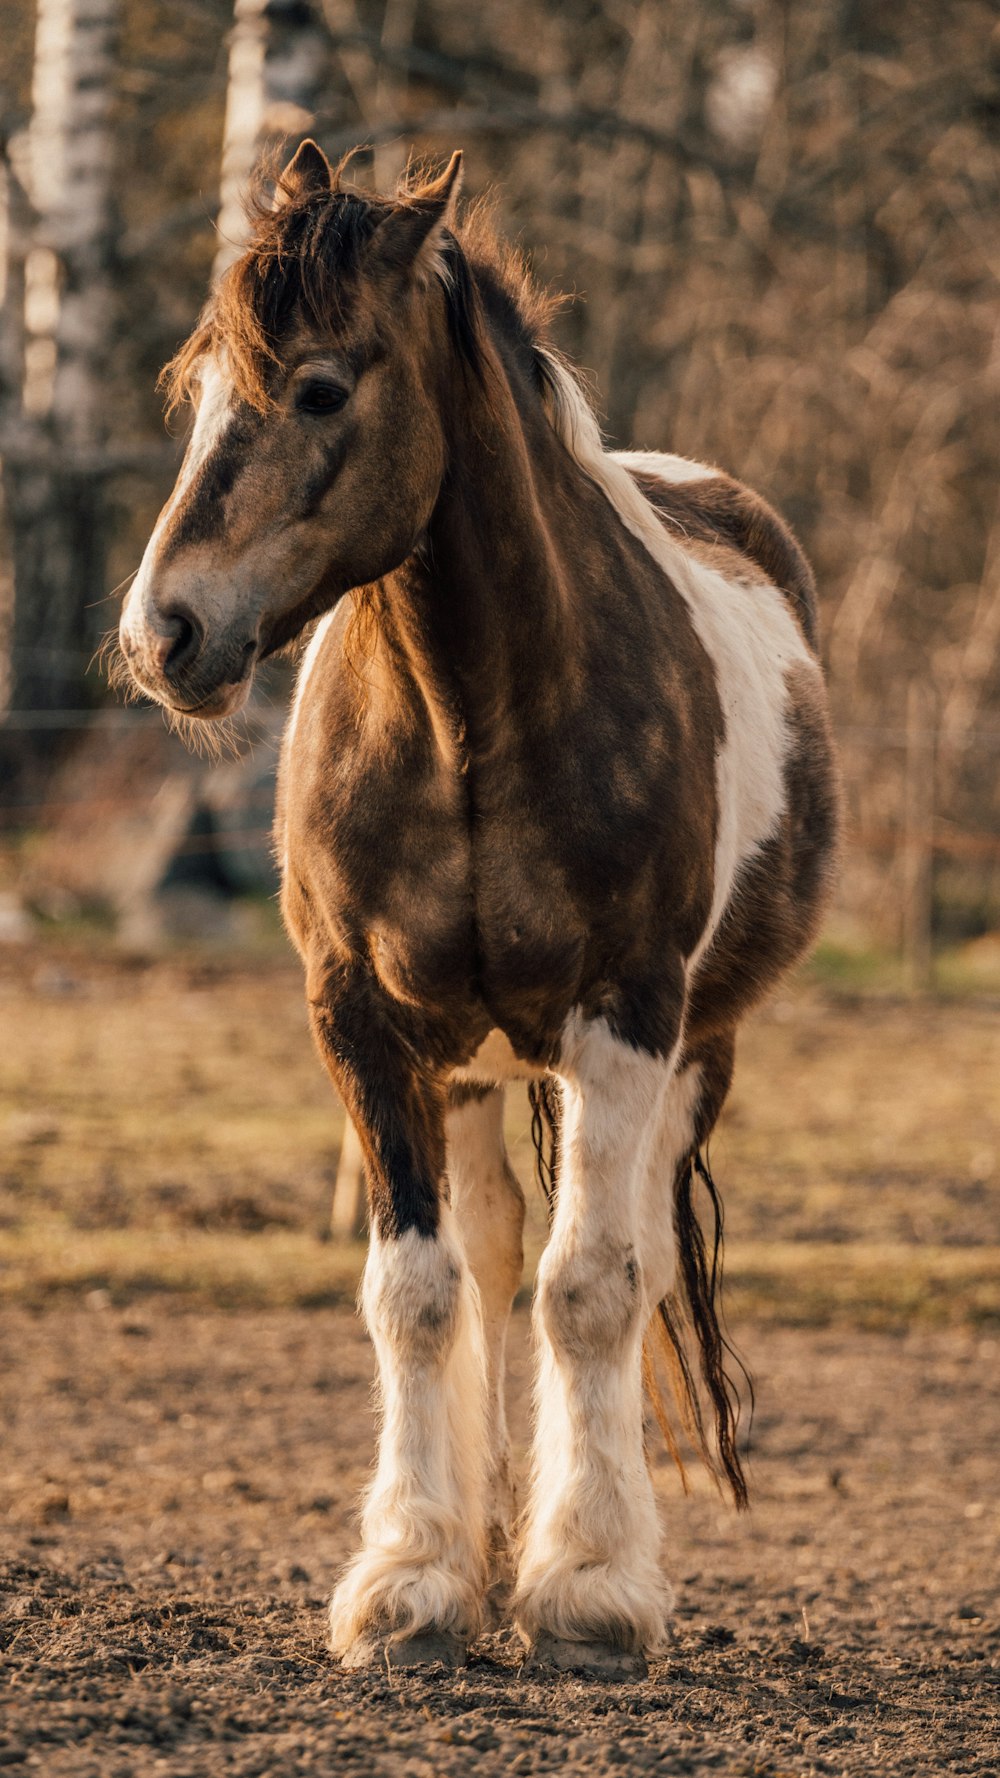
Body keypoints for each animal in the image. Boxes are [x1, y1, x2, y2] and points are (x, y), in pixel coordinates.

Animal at [114, 142, 832, 1678]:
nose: (164, 634)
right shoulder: (365, 1025)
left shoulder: (626, 1018)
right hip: (470, 1068)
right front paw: (413, 1578)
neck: (467, 723)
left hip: (687, 1051)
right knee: (490, 1260)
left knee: (604, 1263)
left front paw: (592, 1588)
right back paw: (486, 1551)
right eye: (197, 385)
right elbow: (420, 1291)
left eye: (323, 388)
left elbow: (595, 1284)